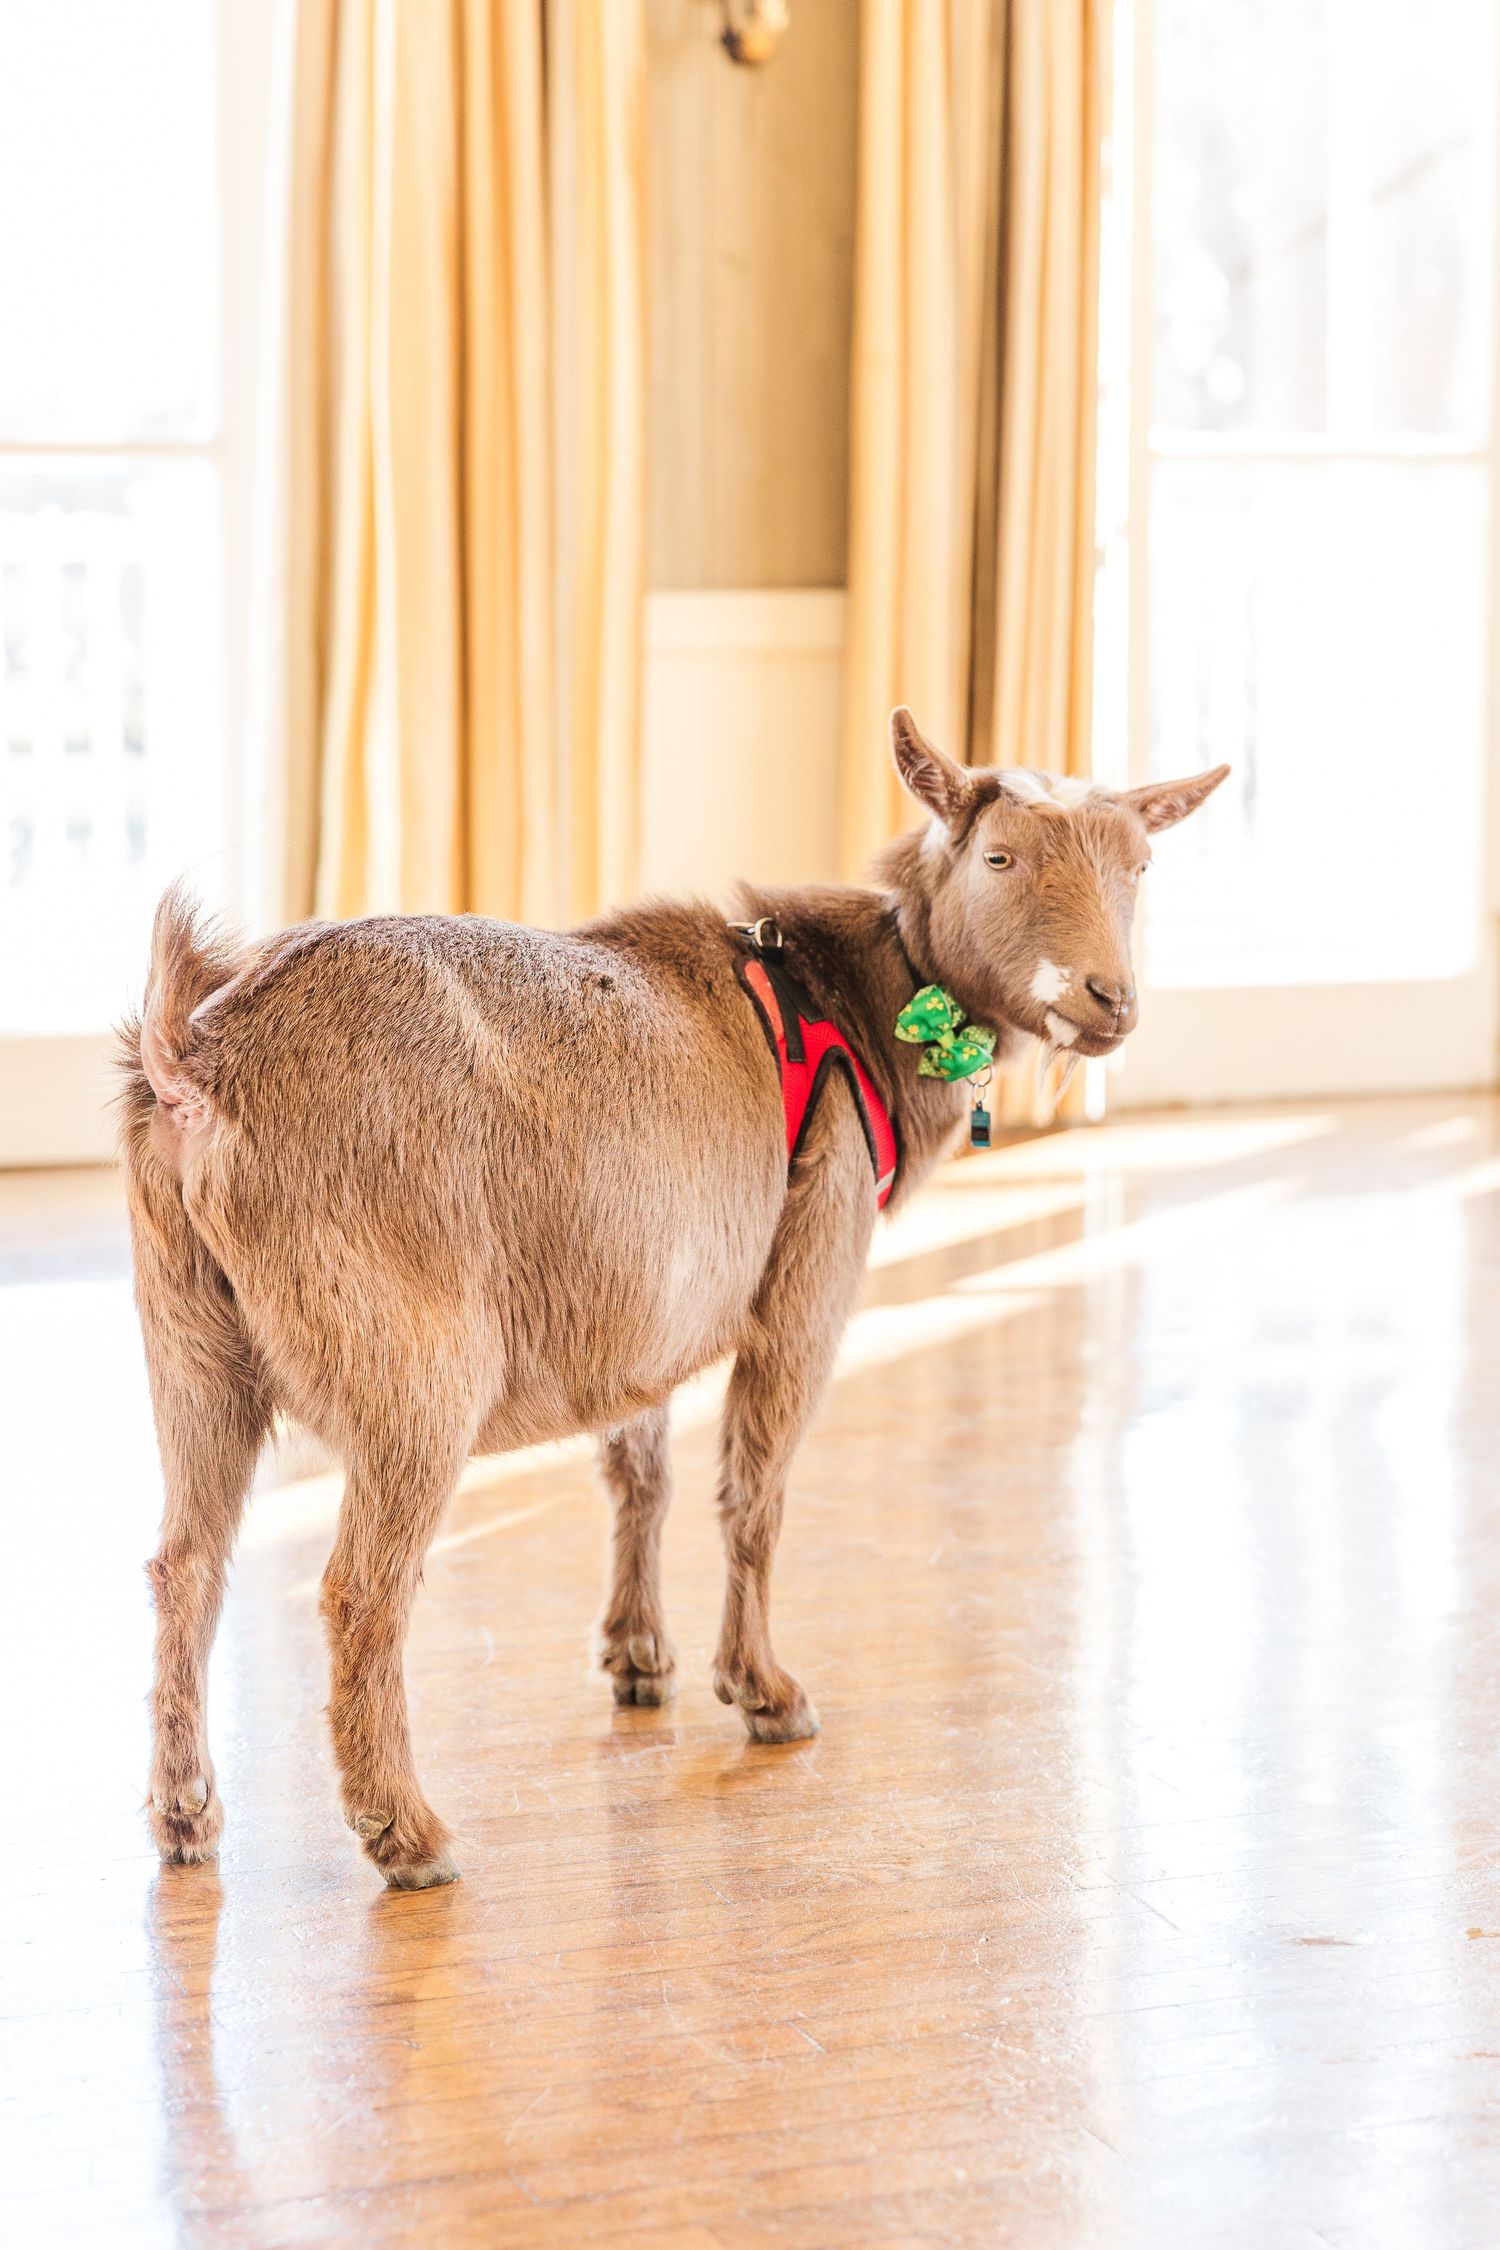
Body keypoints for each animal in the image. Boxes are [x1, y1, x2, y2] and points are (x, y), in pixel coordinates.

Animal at [119, 710, 1226, 1887]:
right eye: (1000, 857)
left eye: (1141, 866)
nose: (1106, 1000)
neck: (853, 1005)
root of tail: (197, 1069)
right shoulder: (810, 1271)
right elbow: (755, 1489)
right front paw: (764, 1692)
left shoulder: (637, 1301)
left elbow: (639, 1468)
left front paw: (639, 1659)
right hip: (410, 1365)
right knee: (362, 1588)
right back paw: (405, 1832)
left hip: (188, 1344)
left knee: (186, 1562)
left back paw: (185, 1814)